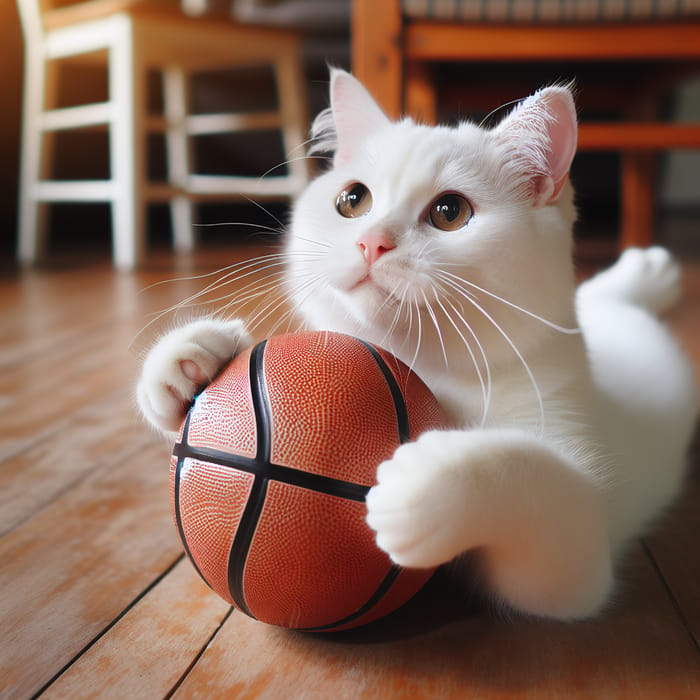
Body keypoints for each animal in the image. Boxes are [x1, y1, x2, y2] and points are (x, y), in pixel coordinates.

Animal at [135, 68, 696, 620]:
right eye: (352, 201)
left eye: (450, 212)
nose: (372, 242)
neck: (426, 363)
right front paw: (188, 359)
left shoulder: (572, 557)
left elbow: (531, 476)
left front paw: (428, 483)